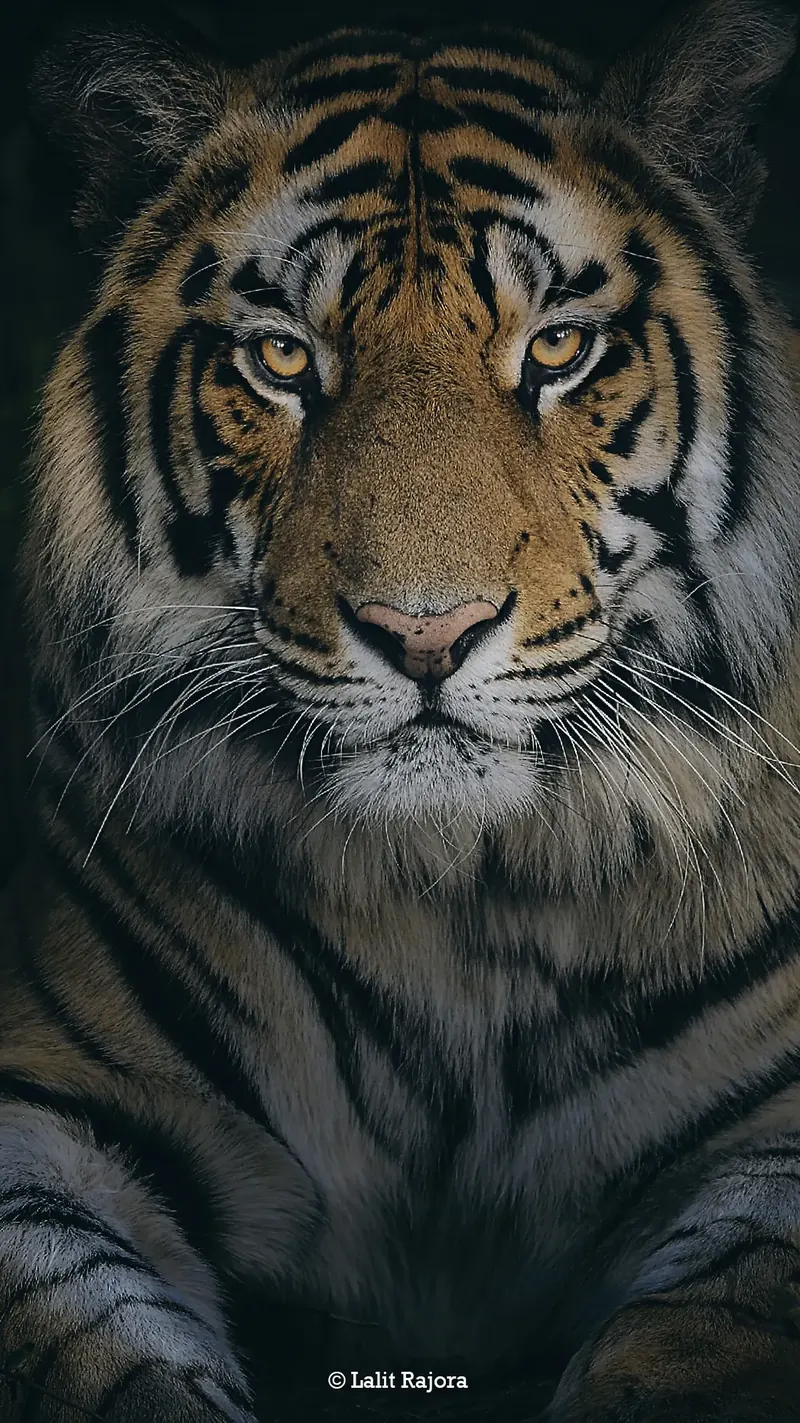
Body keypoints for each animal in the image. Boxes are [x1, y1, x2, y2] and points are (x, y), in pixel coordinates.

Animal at [5, 0, 800, 1417]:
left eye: (556, 348)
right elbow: (88, 1343)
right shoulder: (59, 1108)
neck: (456, 907)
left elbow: (702, 1332)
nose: (425, 633)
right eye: (282, 358)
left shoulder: (769, 1133)